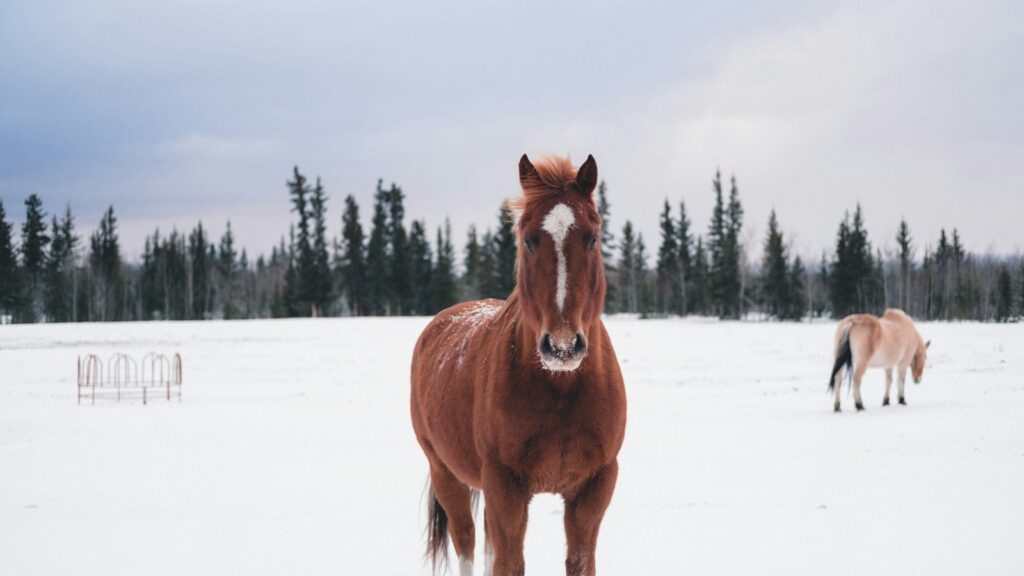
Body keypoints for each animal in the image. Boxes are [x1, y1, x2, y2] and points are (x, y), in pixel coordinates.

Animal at [410, 154, 627, 576]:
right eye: (528, 239)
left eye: (592, 236)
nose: (562, 346)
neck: (560, 389)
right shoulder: (504, 487)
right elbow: (508, 563)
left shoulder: (594, 488)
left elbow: (578, 561)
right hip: (447, 474)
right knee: (466, 542)